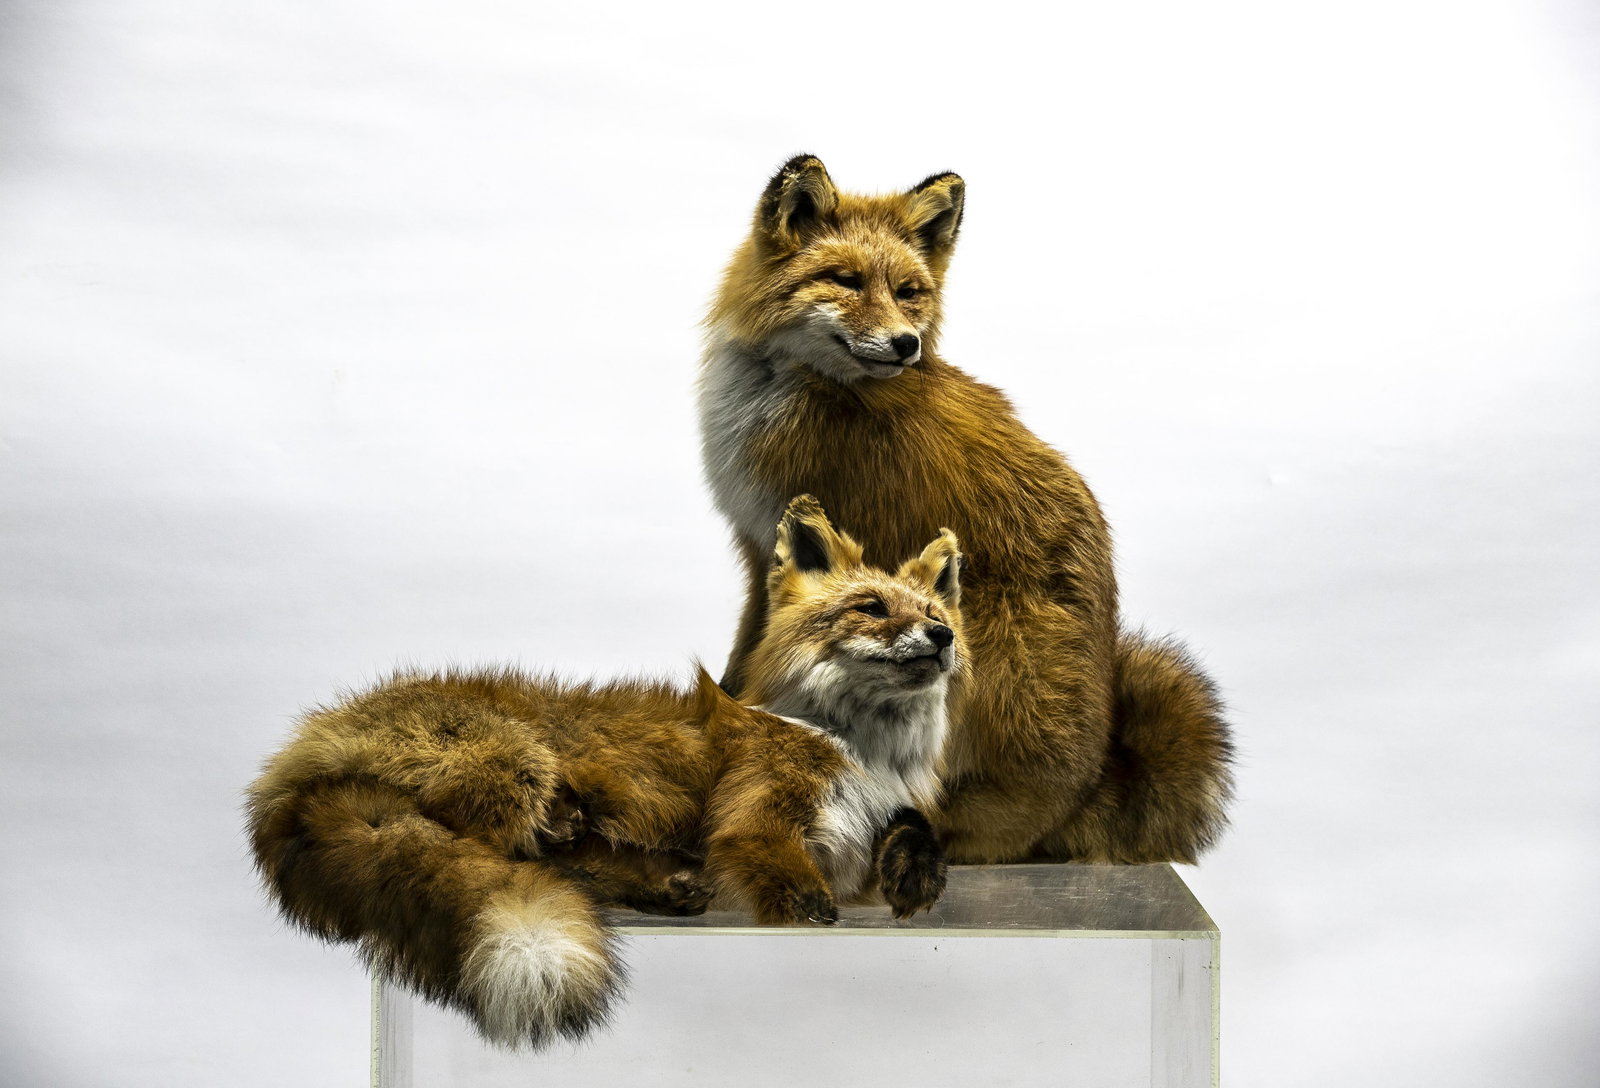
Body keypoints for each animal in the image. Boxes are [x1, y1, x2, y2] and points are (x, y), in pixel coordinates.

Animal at [245, 495, 962, 1050]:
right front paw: (812, 916)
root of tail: (296, 757)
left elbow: (912, 828)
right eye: (872, 607)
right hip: (518, 768)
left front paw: (913, 872)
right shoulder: (757, 823)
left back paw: (661, 884)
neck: (863, 756)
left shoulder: (859, 845)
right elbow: (792, 890)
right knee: (513, 853)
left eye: (935, 613)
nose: (941, 637)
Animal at [699, 155, 1236, 866]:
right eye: (845, 280)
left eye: (908, 292)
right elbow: (750, 651)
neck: (795, 390)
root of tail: (1093, 785)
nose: (906, 344)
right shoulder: (761, 545)